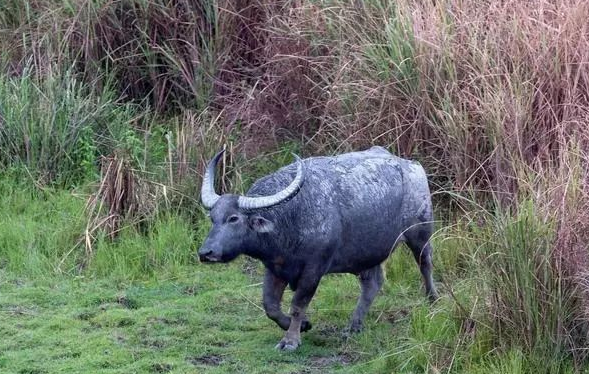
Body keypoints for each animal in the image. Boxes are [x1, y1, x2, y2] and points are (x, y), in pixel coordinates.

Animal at [198, 146, 436, 350]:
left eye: (233, 218)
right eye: (213, 218)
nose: (206, 253)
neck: (290, 217)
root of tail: (413, 166)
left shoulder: (314, 269)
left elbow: (297, 304)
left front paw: (291, 340)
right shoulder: (275, 267)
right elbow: (270, 306)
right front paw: (303, 325)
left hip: (420, 233)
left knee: (425, 265)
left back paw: (432, 299)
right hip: (367, 254)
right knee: (372, 284)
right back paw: (353, 326)